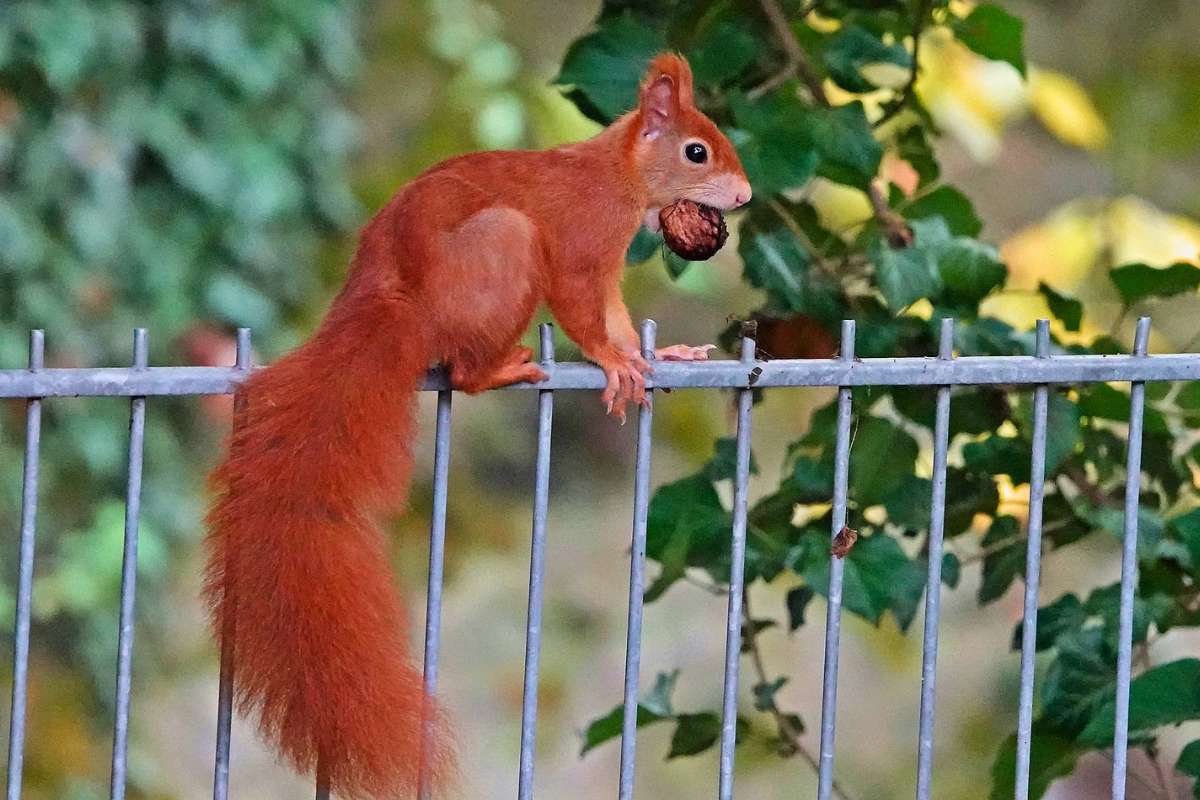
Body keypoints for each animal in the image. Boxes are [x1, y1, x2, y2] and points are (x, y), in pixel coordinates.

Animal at [203, 53, 750, 798]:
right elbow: (586, 314)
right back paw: (501, 368)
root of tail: (394, 299)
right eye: (697, 150)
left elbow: (615, 317)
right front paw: (617, 364)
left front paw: (659, 355)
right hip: (505, 248)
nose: (745, 196)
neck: (616, 174)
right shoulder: (582, 244)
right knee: (462, 371)